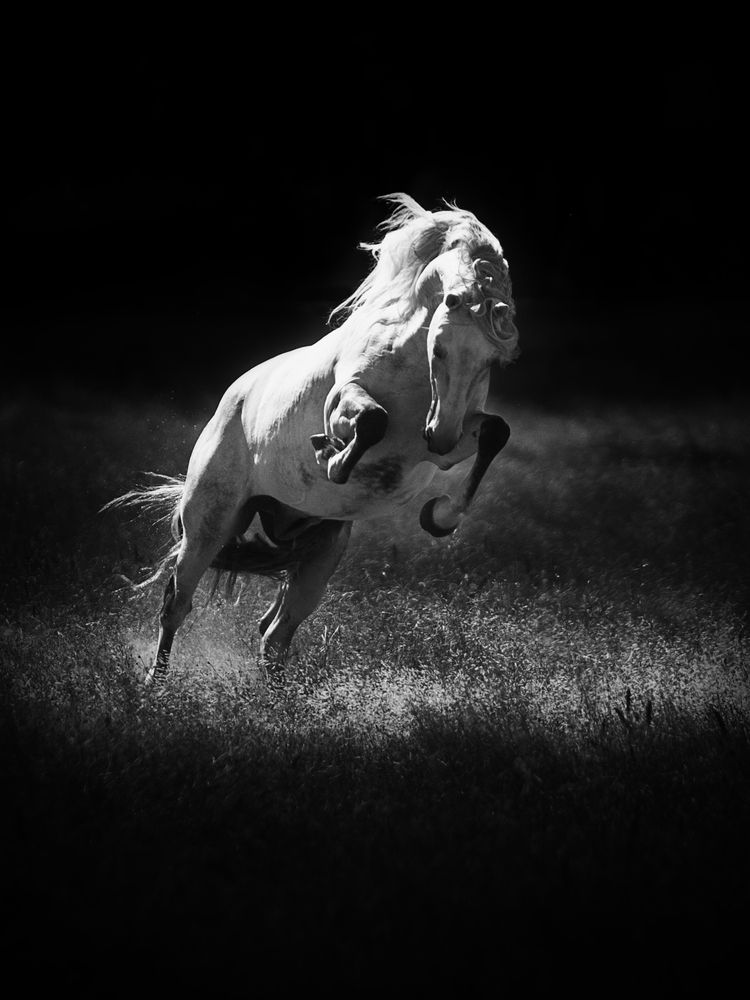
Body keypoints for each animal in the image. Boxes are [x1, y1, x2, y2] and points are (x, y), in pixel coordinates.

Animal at [109, 194, 519, 685]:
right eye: (439, 350)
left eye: (491, 361)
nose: (438, 434)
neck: (410, 364)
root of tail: (231, 398)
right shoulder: (347, 399)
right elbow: (373, 420)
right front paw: (330, 455)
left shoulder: (450, 440)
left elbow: (494, 432)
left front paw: (442, 515)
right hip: (208, 526)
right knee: (176, 606)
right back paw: (157, 683)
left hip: (320, 554)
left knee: (274, 636)